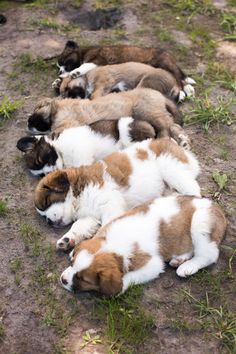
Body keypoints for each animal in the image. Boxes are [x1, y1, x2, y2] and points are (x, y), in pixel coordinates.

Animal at [27, 89, 190, 150]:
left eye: (36, 112)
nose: (28, 123)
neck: (57, 109)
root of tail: (159, 94)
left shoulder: (70, 123)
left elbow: (55, 131)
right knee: (171, 127)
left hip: (147, 111)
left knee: (168, 127)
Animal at [34, 138, 201, 252]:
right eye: (42, 215)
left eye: (47, 202)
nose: (48, 221)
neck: (78, 191)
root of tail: (171, 141)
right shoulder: (91, 216)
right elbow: (79, 225)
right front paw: (68, 239)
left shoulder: (110, 202)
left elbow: (106, 226)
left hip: (171, 170)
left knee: (194, 191)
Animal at [56, 40, 195, 96]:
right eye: (59, 66)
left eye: (65, 62)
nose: (60, 71)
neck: (83, 52)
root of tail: (169, 55)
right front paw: (60, 79)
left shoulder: (97, 61)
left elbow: (84, 66)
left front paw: (75, 72)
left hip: (163, 64)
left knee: (178, 79)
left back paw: (185, 92)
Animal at [60, 195, 227, 298]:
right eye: (72, 264)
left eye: (82, 279)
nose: (62, 280)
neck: (114, 241)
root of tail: (216, 207)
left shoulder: (152, 265)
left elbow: (131, 277)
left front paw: (120, 287)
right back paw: (178, 259)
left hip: (201, 223)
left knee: (208, 255)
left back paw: (187, 267)